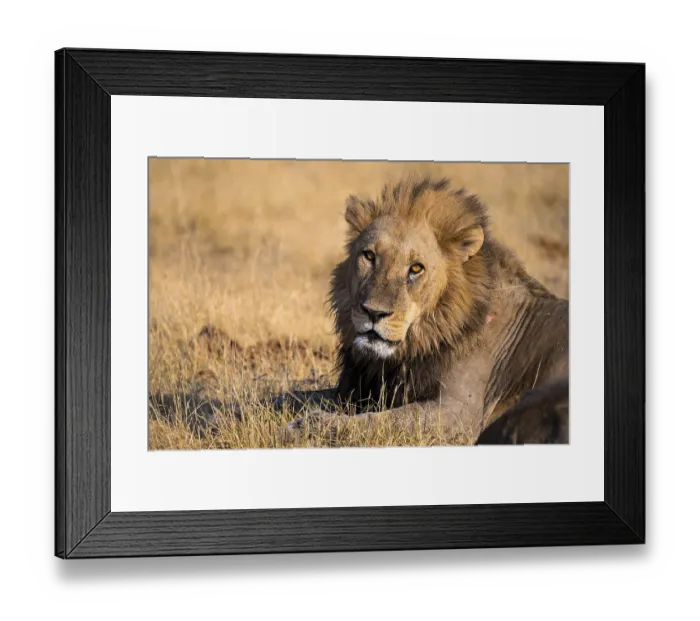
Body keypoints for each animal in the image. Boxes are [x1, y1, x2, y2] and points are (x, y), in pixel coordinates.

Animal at [273, 176, 569, 444]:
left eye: (416, 268)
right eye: (369, 256)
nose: (374, 313)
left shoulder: (458, 410)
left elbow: (379, 420)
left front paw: (303, 427)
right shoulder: (358, 387)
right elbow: (289, 396)